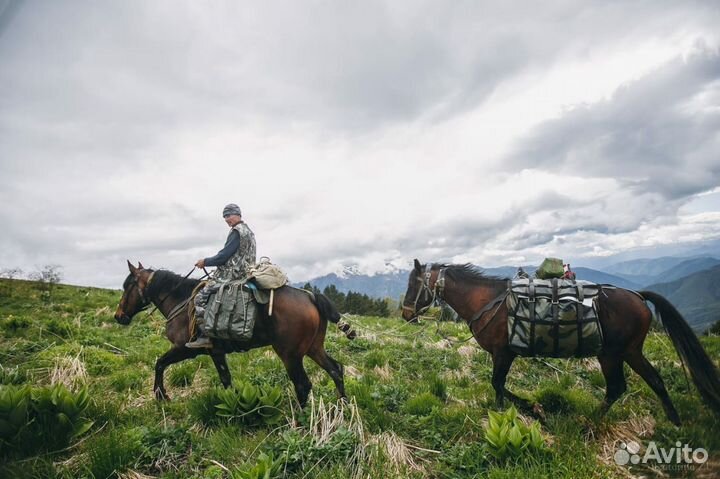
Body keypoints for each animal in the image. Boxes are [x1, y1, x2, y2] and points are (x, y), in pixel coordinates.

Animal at [114, 260, 350, 406]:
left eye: (127, 286)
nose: (118, 316)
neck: (179, 299)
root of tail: (310, 296)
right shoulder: (216, 352)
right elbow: (226, 380)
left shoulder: (186, 349)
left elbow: (160, 363)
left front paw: (160, 395)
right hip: (313, 348)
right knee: (336, 369)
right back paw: (343, 404)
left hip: (290, 355)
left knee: (303, 385)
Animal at [400, 260, 720, 426]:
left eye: (413, 284)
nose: (405, 313)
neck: (486, 301)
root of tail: (638, 296)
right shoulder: (502, 355)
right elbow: (500, 387)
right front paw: (524, 410)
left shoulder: (503, 353)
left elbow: (498, 385)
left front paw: (527, 411)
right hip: (629, 351)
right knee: (654, 380)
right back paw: (675, 423)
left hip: (612, 353)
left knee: (617, 387)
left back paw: (589, 424)